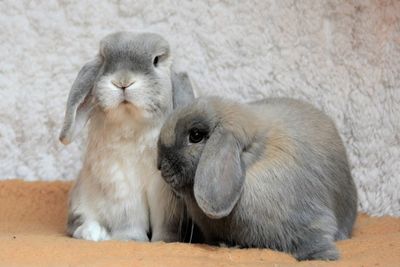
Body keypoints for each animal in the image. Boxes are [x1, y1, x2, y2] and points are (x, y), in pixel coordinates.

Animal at [59, 31, 195, 243]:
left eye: (156, 60)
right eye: (105, 59)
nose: (122, 82)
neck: (132, 124)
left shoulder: (164, 192)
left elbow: (165, 220)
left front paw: (165, 241)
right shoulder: (121, 186)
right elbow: (129, 216)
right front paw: (130, 239)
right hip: (81, 199)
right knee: (75, 224)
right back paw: (94, 234)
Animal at [156, 97, 356, 262]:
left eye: (196, 135)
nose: (159, 165)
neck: (252, 161)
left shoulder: (309, 218)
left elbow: (313, 238)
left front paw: (324, 256)